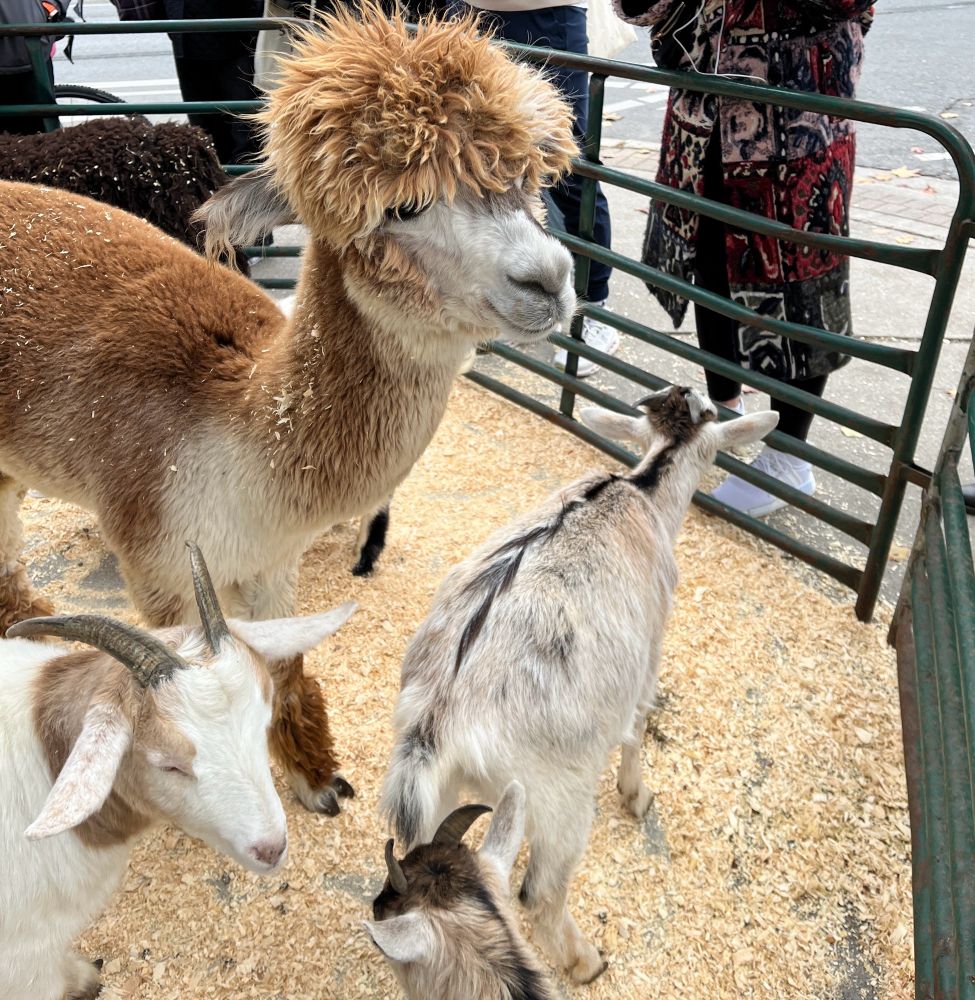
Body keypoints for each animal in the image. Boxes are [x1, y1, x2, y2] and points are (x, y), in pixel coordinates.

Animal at [0, 6, 577, 815]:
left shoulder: (272, 561)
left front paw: (315, 777)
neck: (234, 437)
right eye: (403, 206)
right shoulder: (159, 569)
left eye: (524, 179)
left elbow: (285, 667)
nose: (548, 280)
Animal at [380, 387, 779, 982]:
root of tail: (438, 718)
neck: (644, 491)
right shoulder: (649, 650)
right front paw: (637, 796)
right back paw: (586, 960)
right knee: (541, 892)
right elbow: (638, 725)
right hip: (559, 794)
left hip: (440, 793)